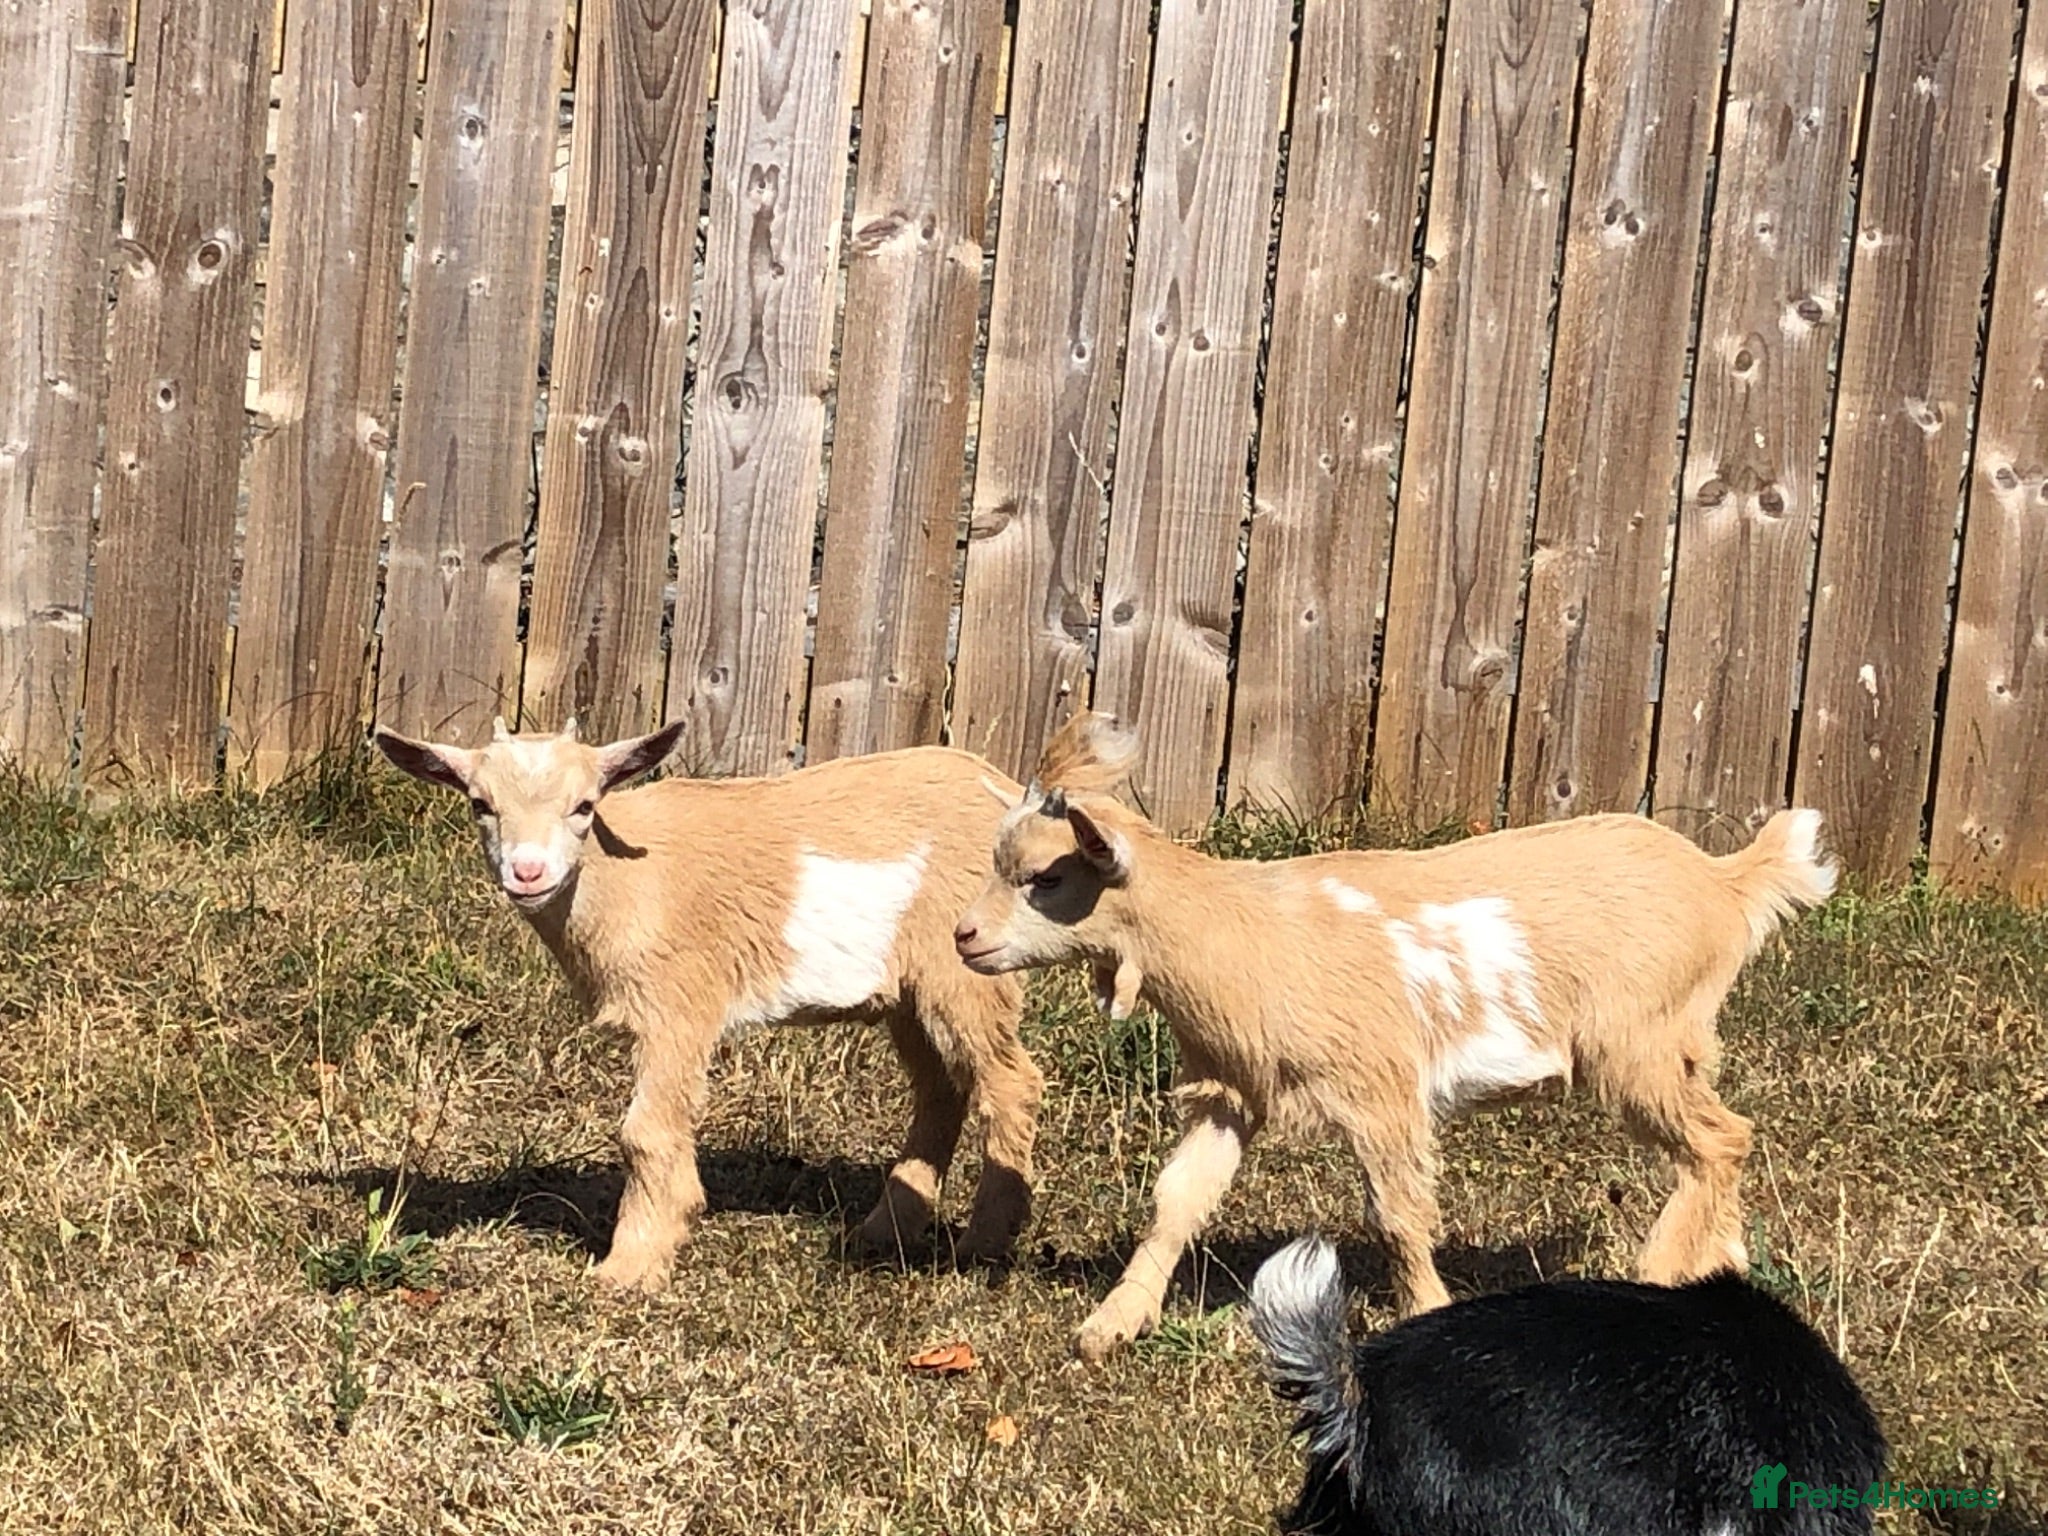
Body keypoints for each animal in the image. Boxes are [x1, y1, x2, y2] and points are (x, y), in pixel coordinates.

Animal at [373, 716, 1044, 1292]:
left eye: (584, 807)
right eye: (480, 805)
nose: (528, 871)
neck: (624, 878)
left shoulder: (678, 1006)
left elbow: (644, 1131)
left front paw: (629, 1267)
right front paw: (675, 1222)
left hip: (966, 967)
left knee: (1010, 1082)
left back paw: (980, 1246)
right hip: (910, 993)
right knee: (942, 1089)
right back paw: (884, 1233)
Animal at [952, 711, 1836, 1361]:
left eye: (1047, 878)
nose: (965, 937)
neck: (1241, 931)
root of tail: (1724, 881)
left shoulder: (1379, 1089)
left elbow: (1398, 1214)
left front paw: (1424, 1311)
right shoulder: (1230, 1092)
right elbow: (1179, 1201)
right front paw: (1112, 1324)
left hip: (1635, 1043)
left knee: (1719, 1139)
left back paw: (1659, 1269)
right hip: (1677, 1044)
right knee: (1723, 1138)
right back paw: (1719, 1265)